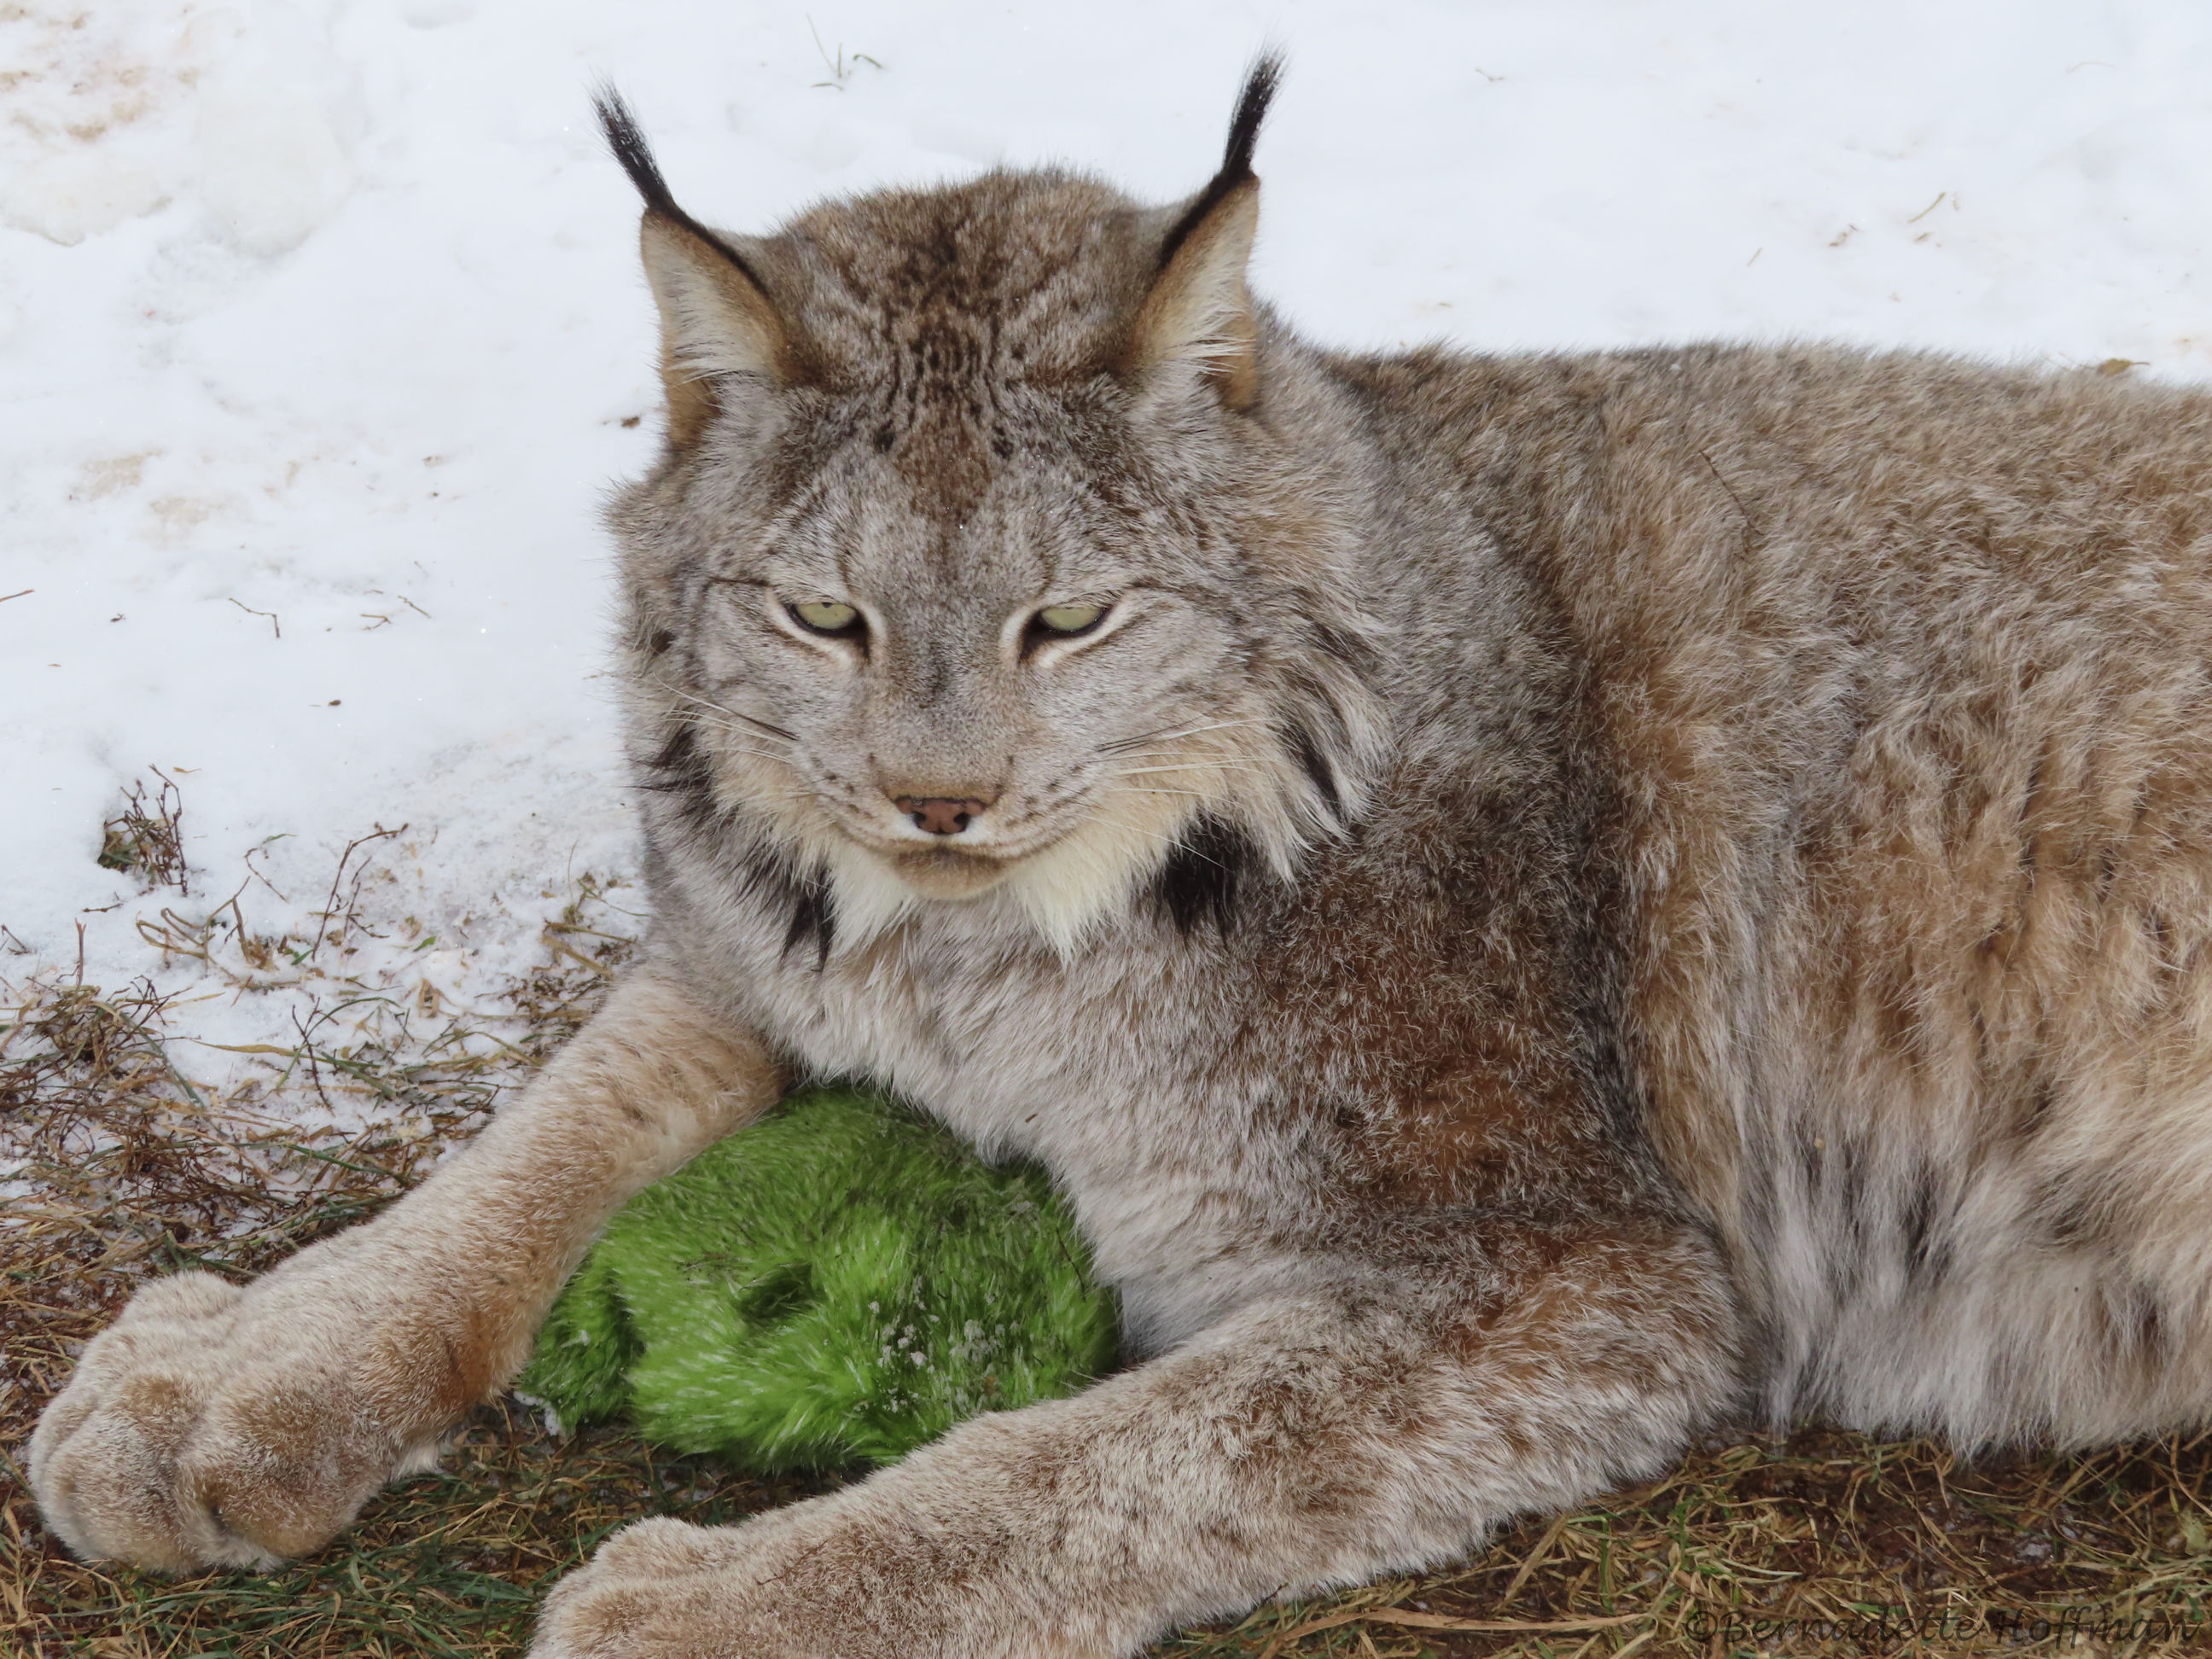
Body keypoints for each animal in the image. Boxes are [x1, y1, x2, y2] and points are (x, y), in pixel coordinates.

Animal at [33, 57, 2212, 1658]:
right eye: (822, 618)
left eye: (1069, 620)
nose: (936, 801)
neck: (981, 952)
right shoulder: (753, 949)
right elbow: (528, 1147)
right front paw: (233, 1378)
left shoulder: (1581, 1264)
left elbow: (1117, 1458)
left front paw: (724, 1602)